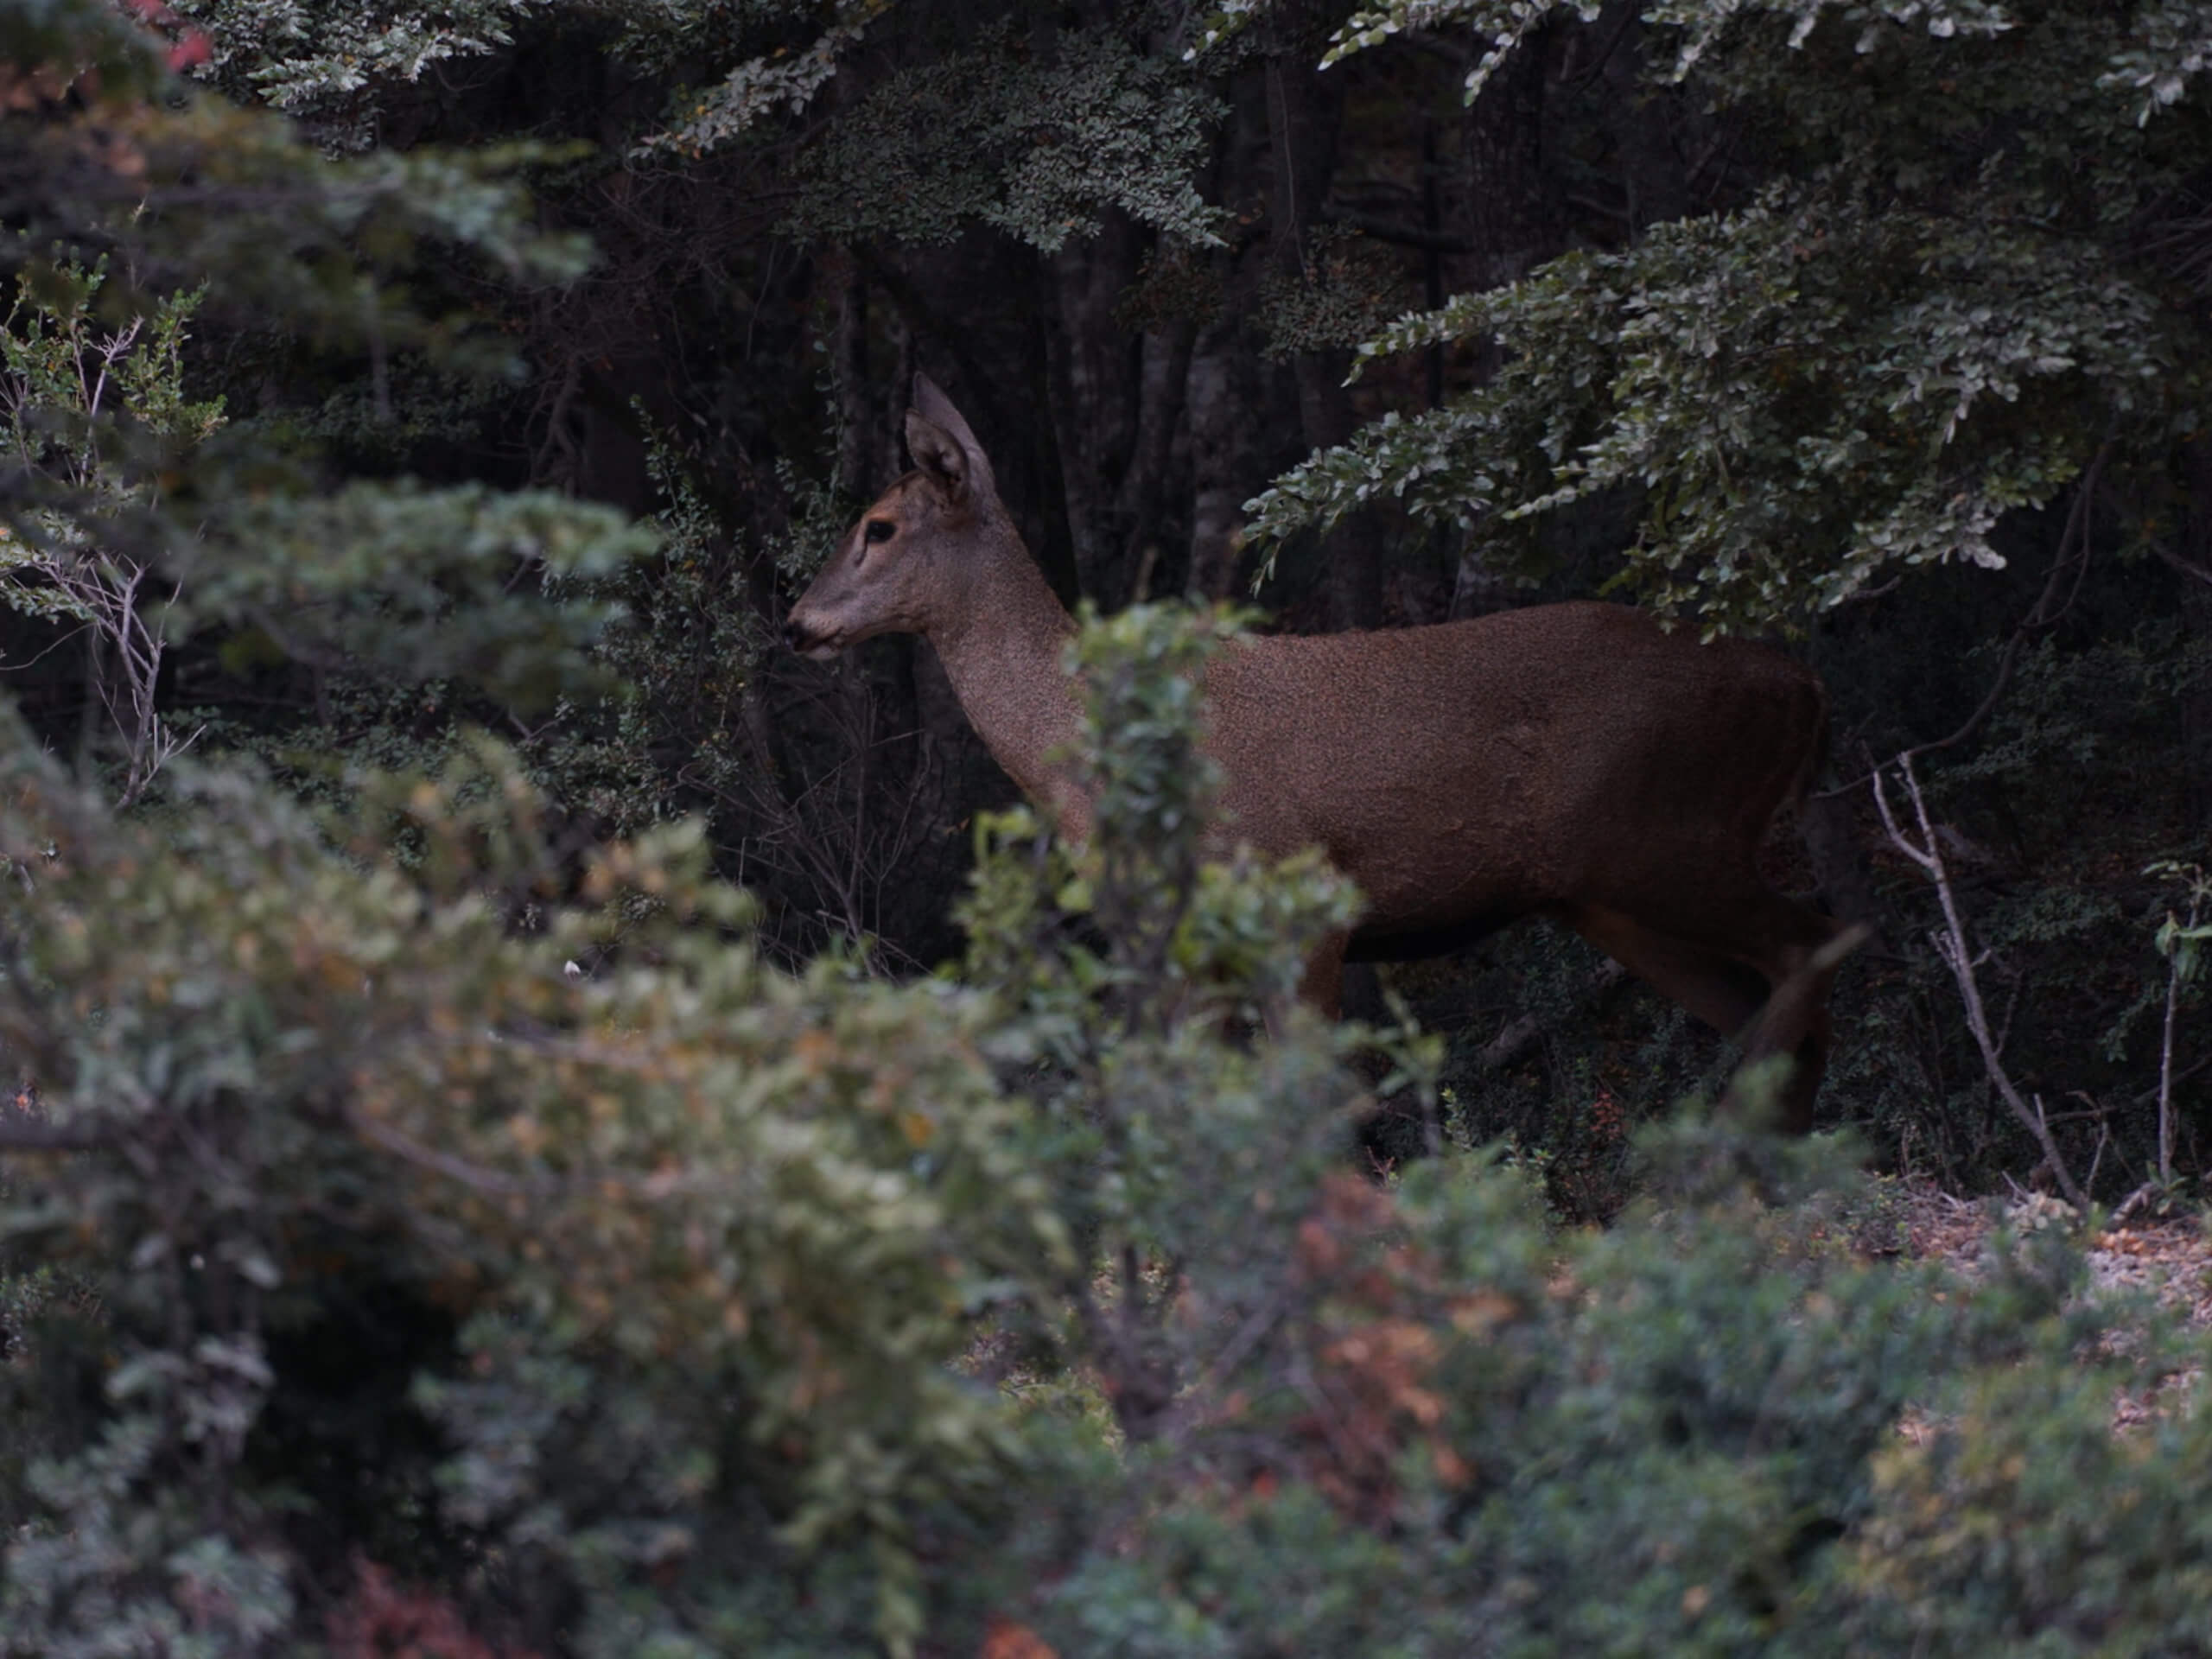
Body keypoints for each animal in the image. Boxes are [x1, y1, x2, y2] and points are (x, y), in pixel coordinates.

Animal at [779, 376, 1849, 1132]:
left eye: (878, 527)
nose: (796, 624)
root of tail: (1802, 685)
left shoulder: (1302, 905)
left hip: (1667, 835)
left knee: (1812, 939)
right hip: (1608, 893)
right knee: (1769, 993)